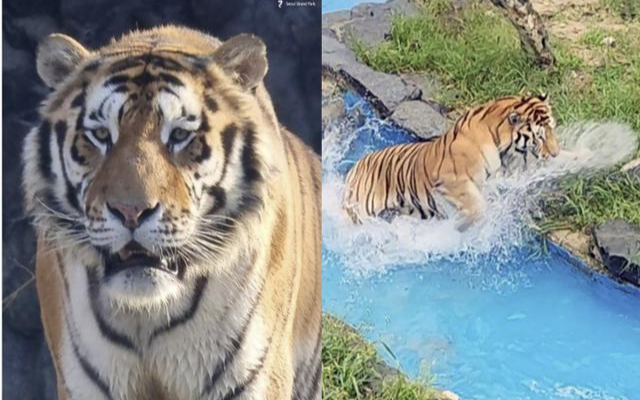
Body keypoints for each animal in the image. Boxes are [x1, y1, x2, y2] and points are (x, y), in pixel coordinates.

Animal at [343, 94, 559, 230]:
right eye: (539, 137)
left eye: (553, 129)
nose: (555, 154)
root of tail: (356, 167)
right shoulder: (453, 182)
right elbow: (478, 207)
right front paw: (460, 228)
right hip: (360, 210)